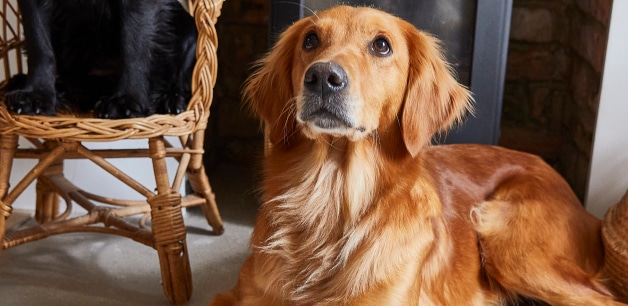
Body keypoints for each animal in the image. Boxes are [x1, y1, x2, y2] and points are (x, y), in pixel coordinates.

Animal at [4, 0, 196, 118]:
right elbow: (39, 44)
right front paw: (36, 94)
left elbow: (134, 45)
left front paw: (126, 99)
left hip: (188, 33)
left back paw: (172, 99)